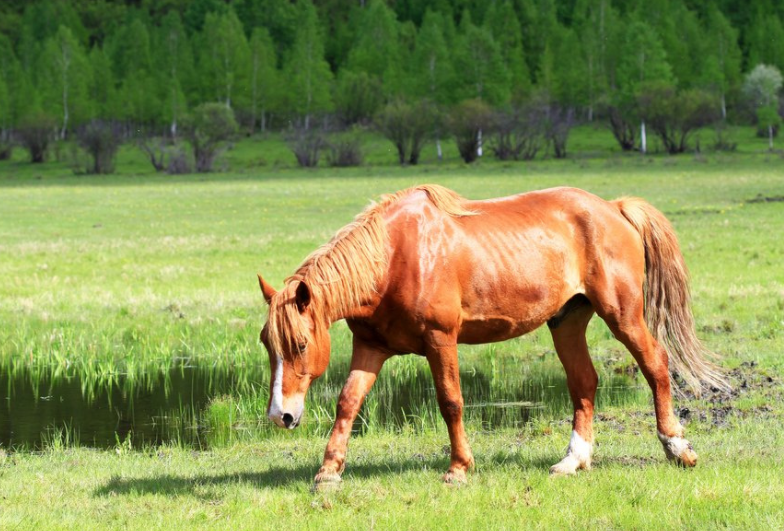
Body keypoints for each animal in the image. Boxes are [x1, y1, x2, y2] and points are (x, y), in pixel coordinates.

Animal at [258, 185, 728, 488]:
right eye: (268, 345)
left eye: (300, 345)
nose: (281, 416)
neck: (395, 257)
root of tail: (613, 208)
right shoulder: (371, 347)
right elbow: (348, 403)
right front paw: (328, 472)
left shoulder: (441, 341)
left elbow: (450, 402)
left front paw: (458, 468)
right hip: (567, 322)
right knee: (584, 382)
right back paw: (573, 460)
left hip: (623, 315)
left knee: (656, 365)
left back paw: (677, 447)